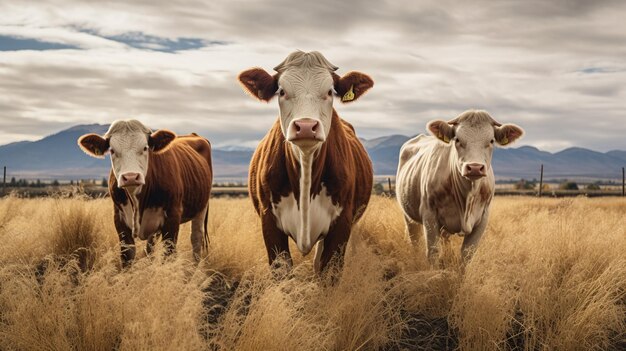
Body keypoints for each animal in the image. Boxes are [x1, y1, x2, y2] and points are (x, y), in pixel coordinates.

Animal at [77, 119, 213, 266]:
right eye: (112, 150)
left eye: (145, 148)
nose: (131, 177)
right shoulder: (119, 219)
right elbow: (128, 256)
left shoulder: (172, 218)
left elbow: (169, 255)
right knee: (150, 246)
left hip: (201, 207)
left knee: (196, 238)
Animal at [236, 51, 372, 274]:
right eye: (282, 91)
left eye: (329, 92)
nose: (306, 126)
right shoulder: (269, 221)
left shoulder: (342, 224)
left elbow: (328, 272)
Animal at [394, 110, 520, 264]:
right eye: (457, 140)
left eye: (491, 141)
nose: (475, 167)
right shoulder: (429, 215)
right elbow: (433, 252)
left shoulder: (482, 219)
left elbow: (467, 255)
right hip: (408, 215)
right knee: (415, 240)